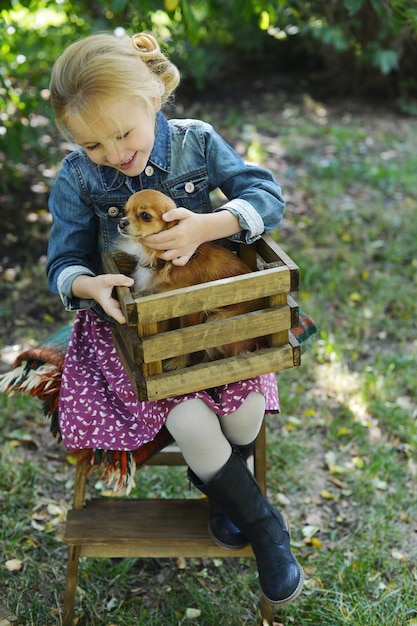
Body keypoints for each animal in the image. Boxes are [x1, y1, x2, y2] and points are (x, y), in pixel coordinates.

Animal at [115, 190, 262, 366]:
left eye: (145, 215)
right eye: (124, 211)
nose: (121, 222)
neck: (161, 260)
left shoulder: (189, 312)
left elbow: (184, 340)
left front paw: (177, 363)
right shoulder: (160, 308)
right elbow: (163, 334)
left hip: (216, 319)